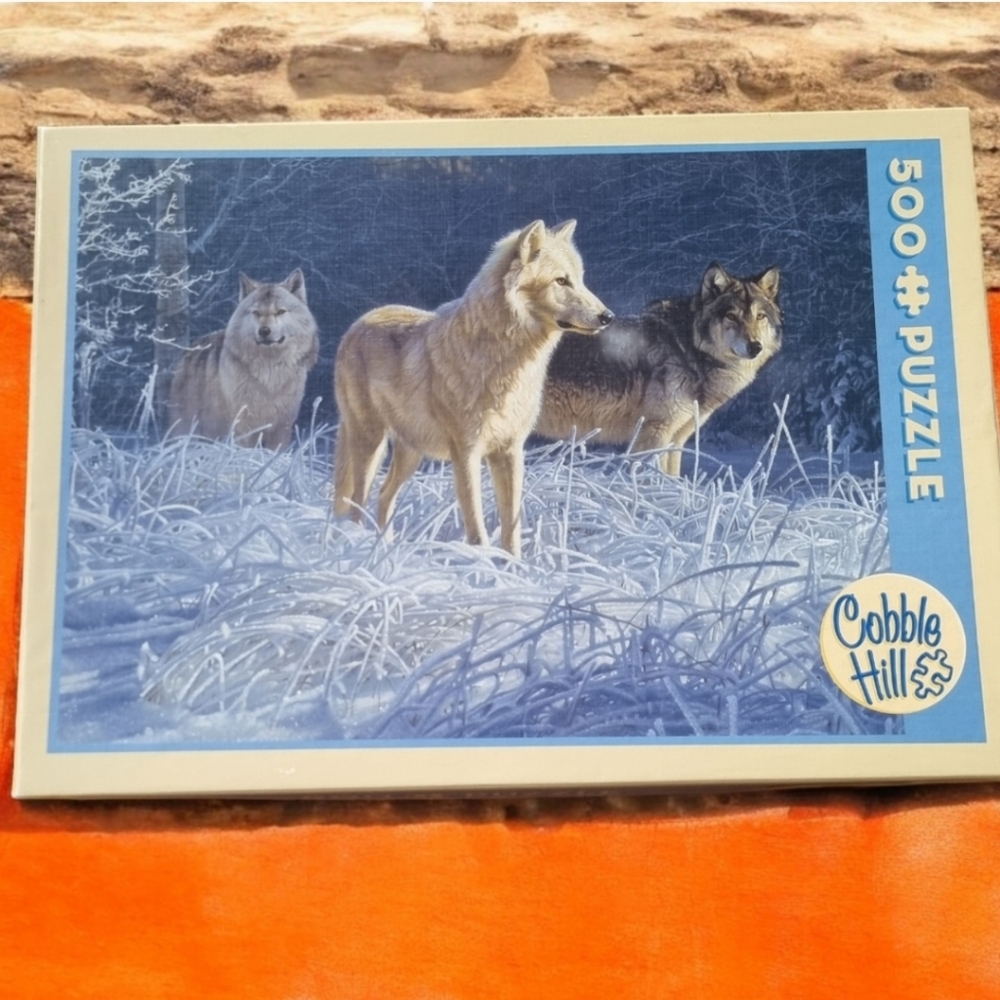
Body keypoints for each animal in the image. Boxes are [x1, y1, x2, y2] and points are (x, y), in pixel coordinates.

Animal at [168, 269, 319, 449]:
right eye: (256, 313)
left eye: (280, 312)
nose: (264, 331)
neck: (269, 371)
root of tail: (189, 349)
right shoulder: (244, 428)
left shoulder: (282, 428)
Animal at [333, 219, 613, 557]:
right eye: (562, 281)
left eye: (580, 280)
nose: (608, 317)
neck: (507, 364)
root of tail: (358, 323)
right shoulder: (466, 453)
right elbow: (477, 527)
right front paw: (481, 563)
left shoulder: (510, 451)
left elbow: (511, 525)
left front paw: (514, 565)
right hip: (370, 443)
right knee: (357, 502)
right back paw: (360, 548)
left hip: (411, 454)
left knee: (384, 496)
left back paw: (384, 549)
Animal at [536, 263, 782, 476]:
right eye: (731, 316)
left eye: (760, 316)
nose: (755, 346)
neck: (688, 348)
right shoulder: (655, 431)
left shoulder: (677, 437)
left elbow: (672, 477)